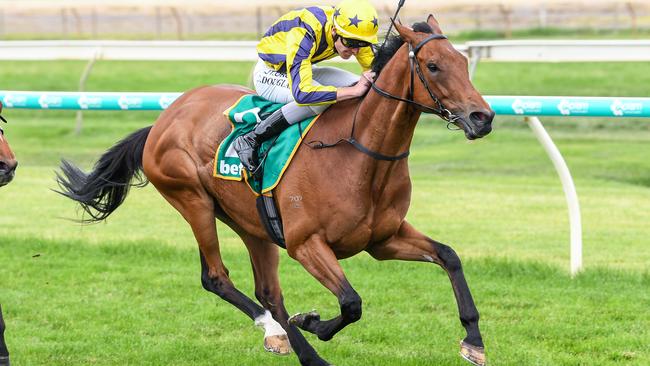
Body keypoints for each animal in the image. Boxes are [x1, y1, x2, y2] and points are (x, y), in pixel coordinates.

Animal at [58, 15, 492, 364]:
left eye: (464, 62)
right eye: (433, 66)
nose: (482, 117)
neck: (359, 155)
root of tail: (165, 117)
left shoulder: (383, 240)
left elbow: (449, 256)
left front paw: (473, 341)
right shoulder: (306, 243)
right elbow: (351, 303)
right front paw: (313, 322)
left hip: (252, 223)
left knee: (268, 291)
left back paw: (288, 341)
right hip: (193, 201)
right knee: (216, 277)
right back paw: (287, 337)